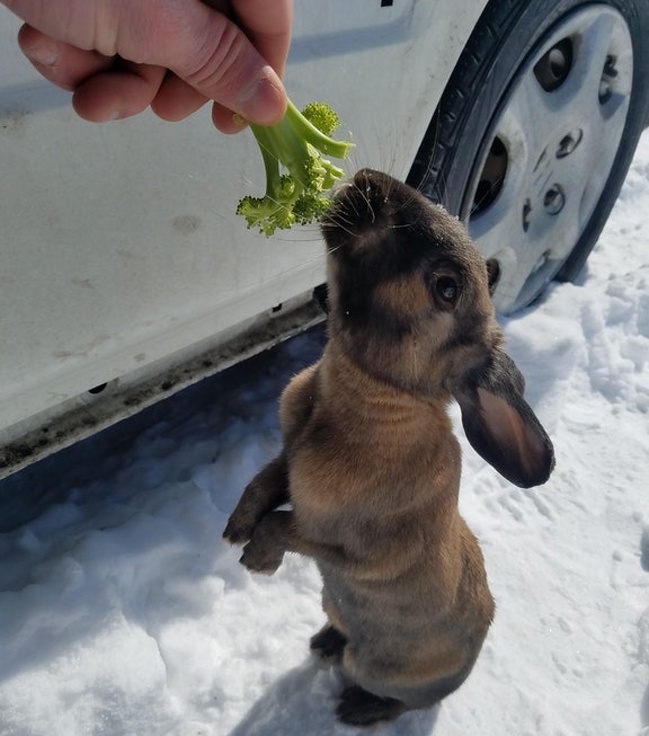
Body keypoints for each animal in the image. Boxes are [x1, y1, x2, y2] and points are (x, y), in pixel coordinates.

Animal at [221, 170, 552, 728]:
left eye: (447, 288)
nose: (367, 180)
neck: (364, 398)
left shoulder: (355, 551)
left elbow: (284, 526)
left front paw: (256, 562)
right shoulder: (287, 459)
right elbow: (264, 483)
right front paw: (234, 530)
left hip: (380, 669)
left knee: (399, 703)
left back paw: (356, 707)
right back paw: (325, 643)